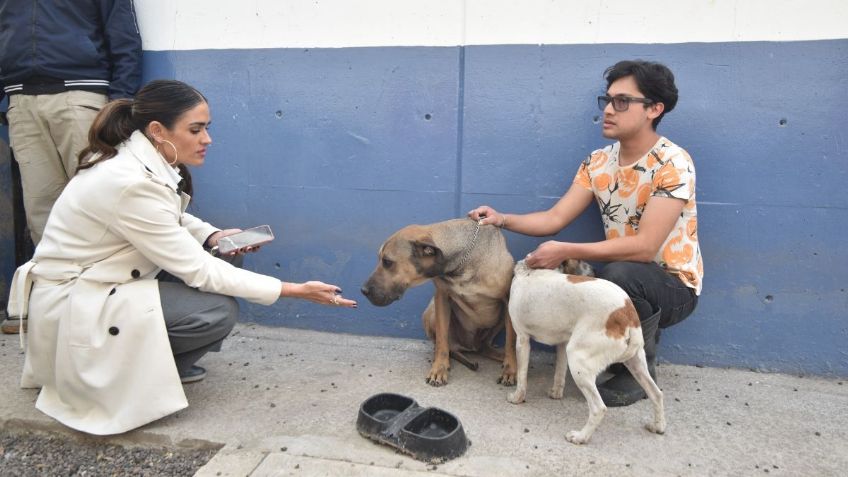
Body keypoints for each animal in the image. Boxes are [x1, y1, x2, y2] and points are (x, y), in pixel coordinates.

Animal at [360, 218, 516, 384]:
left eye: (387, 262)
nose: (363, 290)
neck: (462, 264)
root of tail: (469, 346)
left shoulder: (508, 300)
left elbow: (511, 342)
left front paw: (510, 370)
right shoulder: (441, 298)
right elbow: (441, 340)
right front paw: (439, 368)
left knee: (485, 346)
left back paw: (502, 356)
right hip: (431, 311)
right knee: (446, 346)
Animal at [506, 258, 664, 444]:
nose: (595, 269)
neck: (530, 271)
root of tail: (626, 313)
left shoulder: (522, 339)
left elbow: (522, 378)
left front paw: (517, 398)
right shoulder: (562, 344)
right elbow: (559, 373)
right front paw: (556, 393)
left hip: (578, 360)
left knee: (599, 408)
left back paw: (580, 437)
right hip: (635, 363)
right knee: (656, 394)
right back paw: (658, 426)